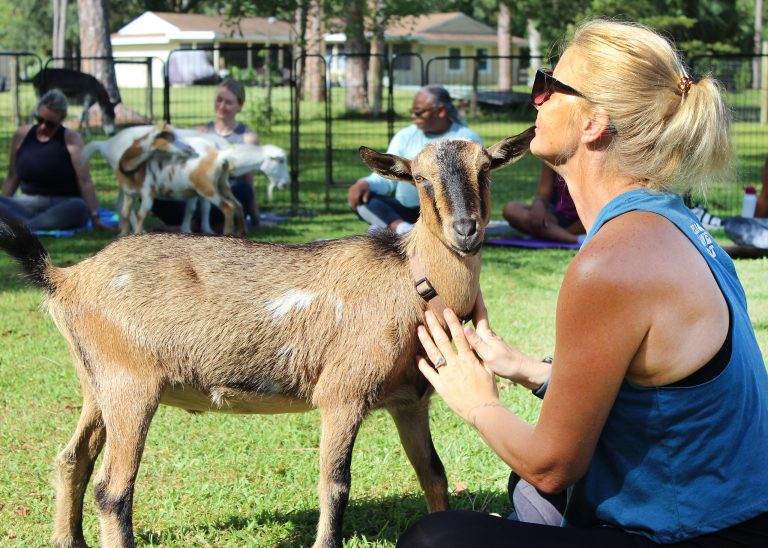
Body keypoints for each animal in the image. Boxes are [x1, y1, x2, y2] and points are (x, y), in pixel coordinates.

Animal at [0, 127, 535, 548]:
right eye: (420, 179)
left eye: (487, 169)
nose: (466, 230)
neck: (409, 280)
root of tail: (65, 279)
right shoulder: (342, 393)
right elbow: (335, 484)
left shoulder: (410, 401)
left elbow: (434, 474)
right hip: (130, 383)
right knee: (112, 489)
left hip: (96, 385)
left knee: (72, 459)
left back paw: (66, 539)